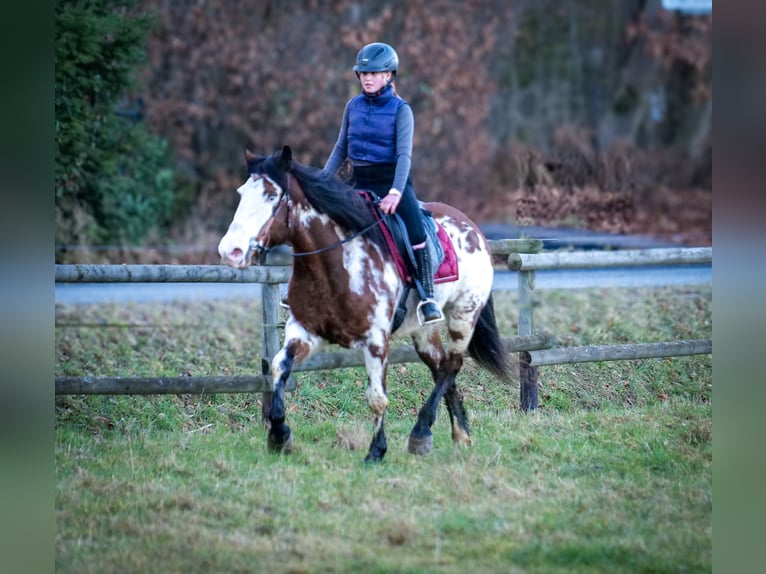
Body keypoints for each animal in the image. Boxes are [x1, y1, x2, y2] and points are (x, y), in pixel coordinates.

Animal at [219, 147, 512, 464]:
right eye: (241, 192)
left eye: (272, 196)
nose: (229, 252)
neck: (337, 264)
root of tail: (474, 230)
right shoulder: (305, 332)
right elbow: (278, 368)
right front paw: (278, 434)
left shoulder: (376, 341)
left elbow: (377, 398)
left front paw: (376, 450)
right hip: (424, 330)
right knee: (440, 367)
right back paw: (459, 435)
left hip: (463, 315)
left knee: (453, 364)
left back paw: (421, 432)